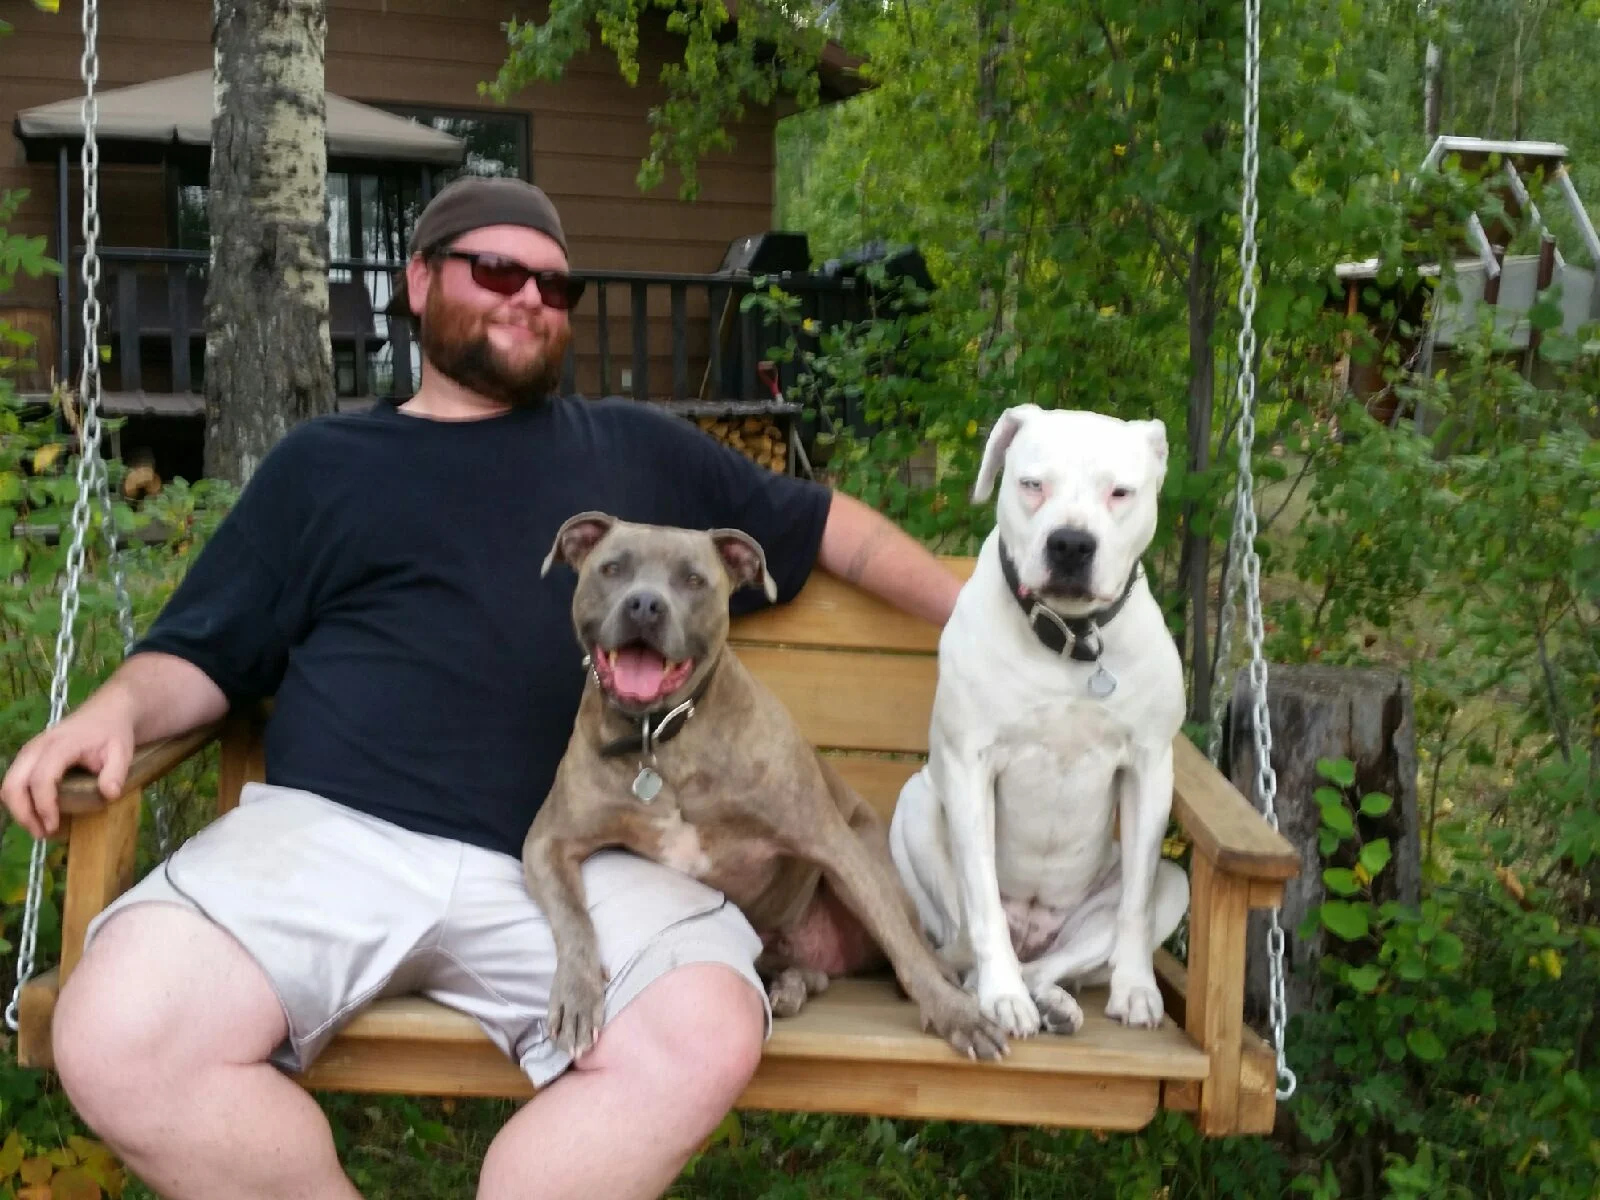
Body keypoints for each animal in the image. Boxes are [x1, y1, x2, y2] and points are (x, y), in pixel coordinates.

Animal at [523, 512, 1009, 1063]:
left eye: (694, 580)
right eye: (612, 568)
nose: (644, 604)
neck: (660, 735)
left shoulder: (832, 844)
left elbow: (902, 946)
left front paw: (954, 1015)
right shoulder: (548, 841)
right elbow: (573, 918)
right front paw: (577, 993)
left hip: (869, 860)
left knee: (909, 941)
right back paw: (790, 985)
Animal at [888, 404, 1190, 1039]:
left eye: (1119, 492)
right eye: (1032, 484)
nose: (1071, 543)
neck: (1070, 639)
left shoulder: (1151, 767)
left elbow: (1134, 906)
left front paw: (1136, 988)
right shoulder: (969, 765)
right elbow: (981, 897)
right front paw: (1001, 995)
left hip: (1167, 887)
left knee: (1057, 961)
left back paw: (1056, 1002)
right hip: (919, 802)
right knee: (970, 940)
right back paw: (998, 990)